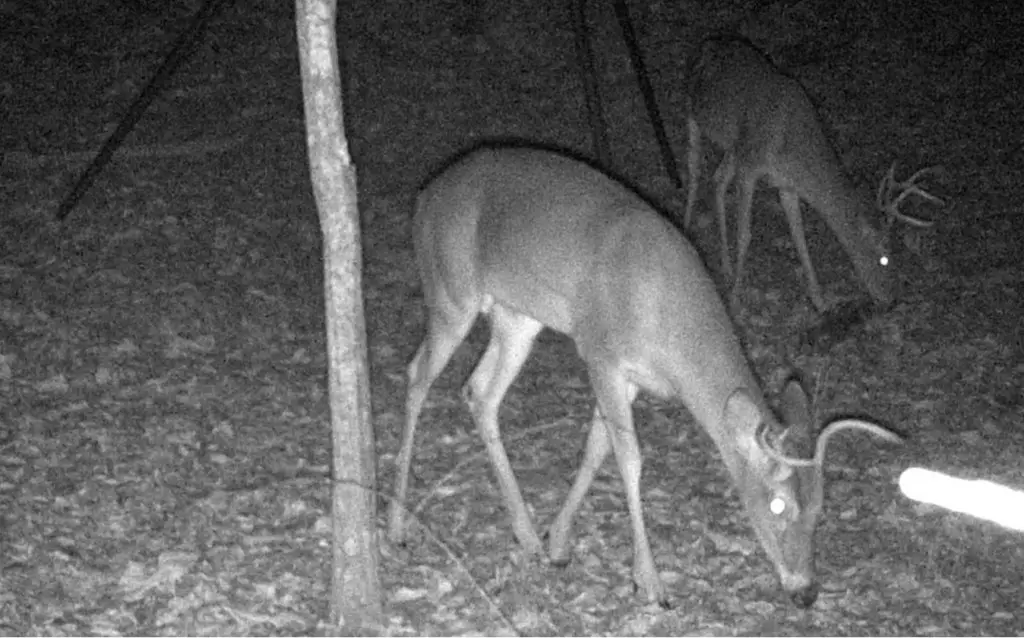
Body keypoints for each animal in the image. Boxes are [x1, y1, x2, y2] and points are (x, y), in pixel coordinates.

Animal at [382, 144, 897, 610]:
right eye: (777, 504)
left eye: (821, 508)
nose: (806, 592)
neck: (671, 324)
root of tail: (425, 195)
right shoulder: (601, 352)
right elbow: (630, 458)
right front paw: (649, 582)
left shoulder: (631, 378)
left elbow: (596, 449)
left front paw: (558, 543)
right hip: (451, 293)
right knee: (416, 376)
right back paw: (395, 526)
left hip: (516, 318)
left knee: (479, 392)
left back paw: (525, 534)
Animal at [684, 36, 937, 313]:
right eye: (883, 258)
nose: (891, 299)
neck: (792, 151)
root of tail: (708, 42)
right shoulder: (750, 166)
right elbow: (745, 234)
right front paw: (734, 298)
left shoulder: (786, 185)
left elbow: (800, 238)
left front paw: (819, 300)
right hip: (694, 112)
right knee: (694, 172)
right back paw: (685, 227)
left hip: (732, 148)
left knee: (717, 180)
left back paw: (726, 265)